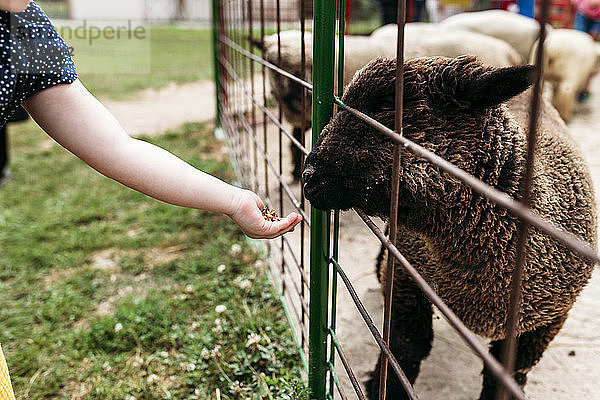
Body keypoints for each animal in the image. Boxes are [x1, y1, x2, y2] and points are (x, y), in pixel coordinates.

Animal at [302, 57, 596, 400]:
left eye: (388, 104)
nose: (309, 176)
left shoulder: (545, 321)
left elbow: (505, 375)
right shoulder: (407, 277)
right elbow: (405, 348)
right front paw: (384, 386)